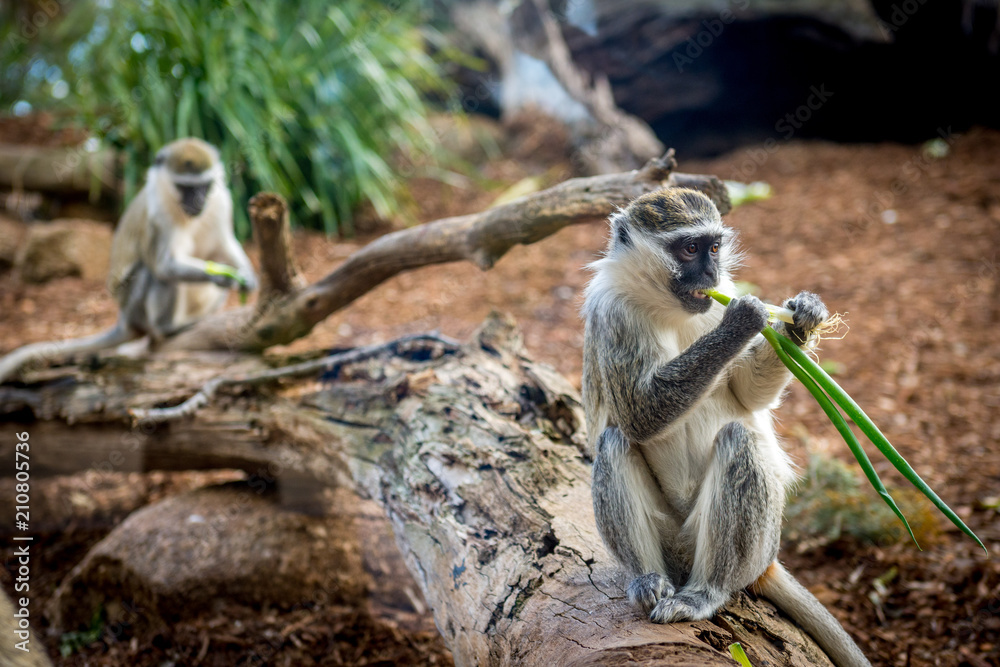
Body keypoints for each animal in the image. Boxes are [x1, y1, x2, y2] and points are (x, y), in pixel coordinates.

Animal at [0, 138, 257, 383]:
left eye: (205, 186)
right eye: (184, 187)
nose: (199, 201)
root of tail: (125, 319)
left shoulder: (221, 201)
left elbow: (223, 246)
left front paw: (248, 276)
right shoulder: (157, 213)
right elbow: (164, 265)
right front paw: (221, 277)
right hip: (136, 308)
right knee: (156, 275)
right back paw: (167, 328)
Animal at [582, 188, 870, 667]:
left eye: (714, 247)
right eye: (689, 248)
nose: (711, 273)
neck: (668, 307)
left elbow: (747, 396)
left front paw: (802, 316)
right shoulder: (611, 312)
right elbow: (639, 414)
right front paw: (744, 320)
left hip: (754, 542)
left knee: (739, 438)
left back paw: (708, 591)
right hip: (673, 540)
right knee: (616, 438)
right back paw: (647, 579)